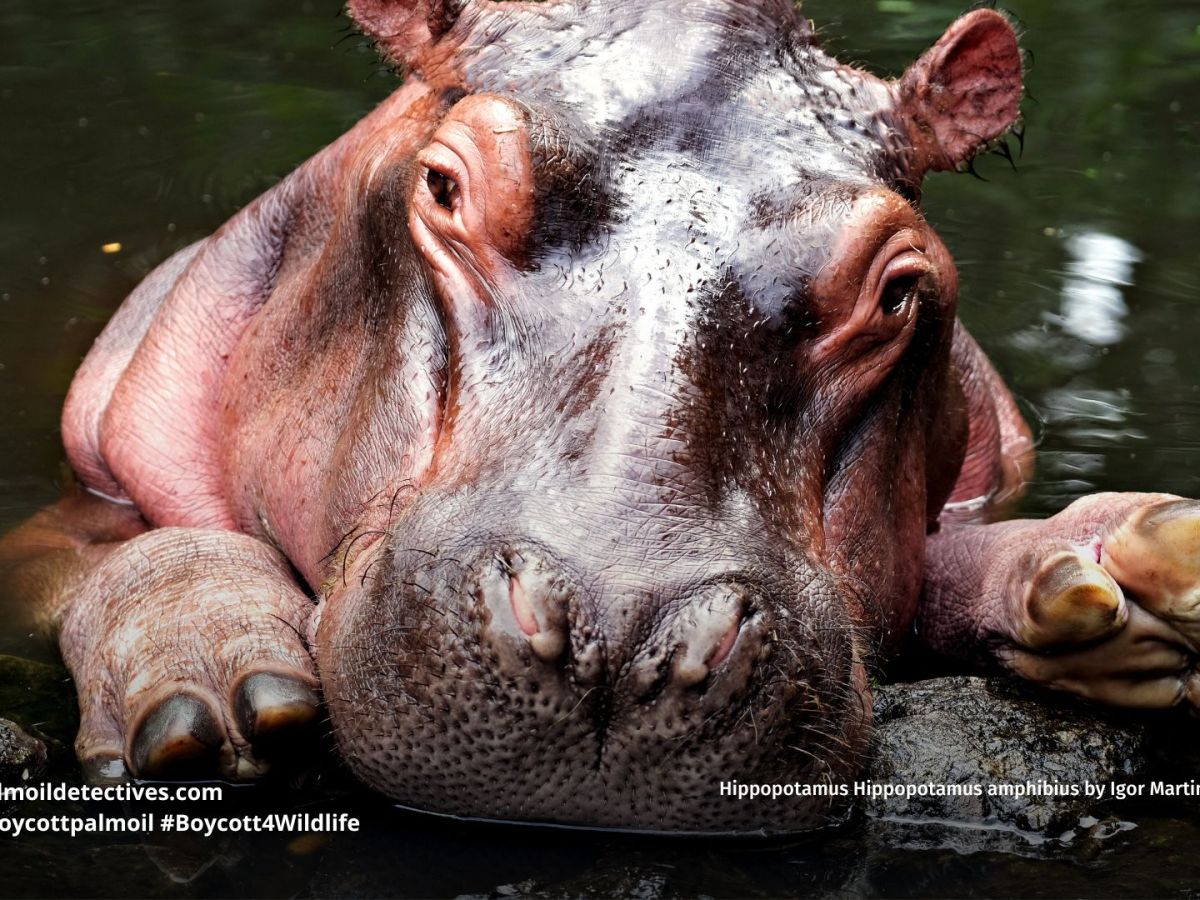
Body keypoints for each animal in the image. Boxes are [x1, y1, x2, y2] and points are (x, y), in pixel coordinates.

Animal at [2, 0, 1199, 836]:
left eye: (901, 289)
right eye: (443, 186)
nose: (622, 640)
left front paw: (1124, 575)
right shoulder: (72, 507)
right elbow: (132, 550)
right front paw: (214, 688)